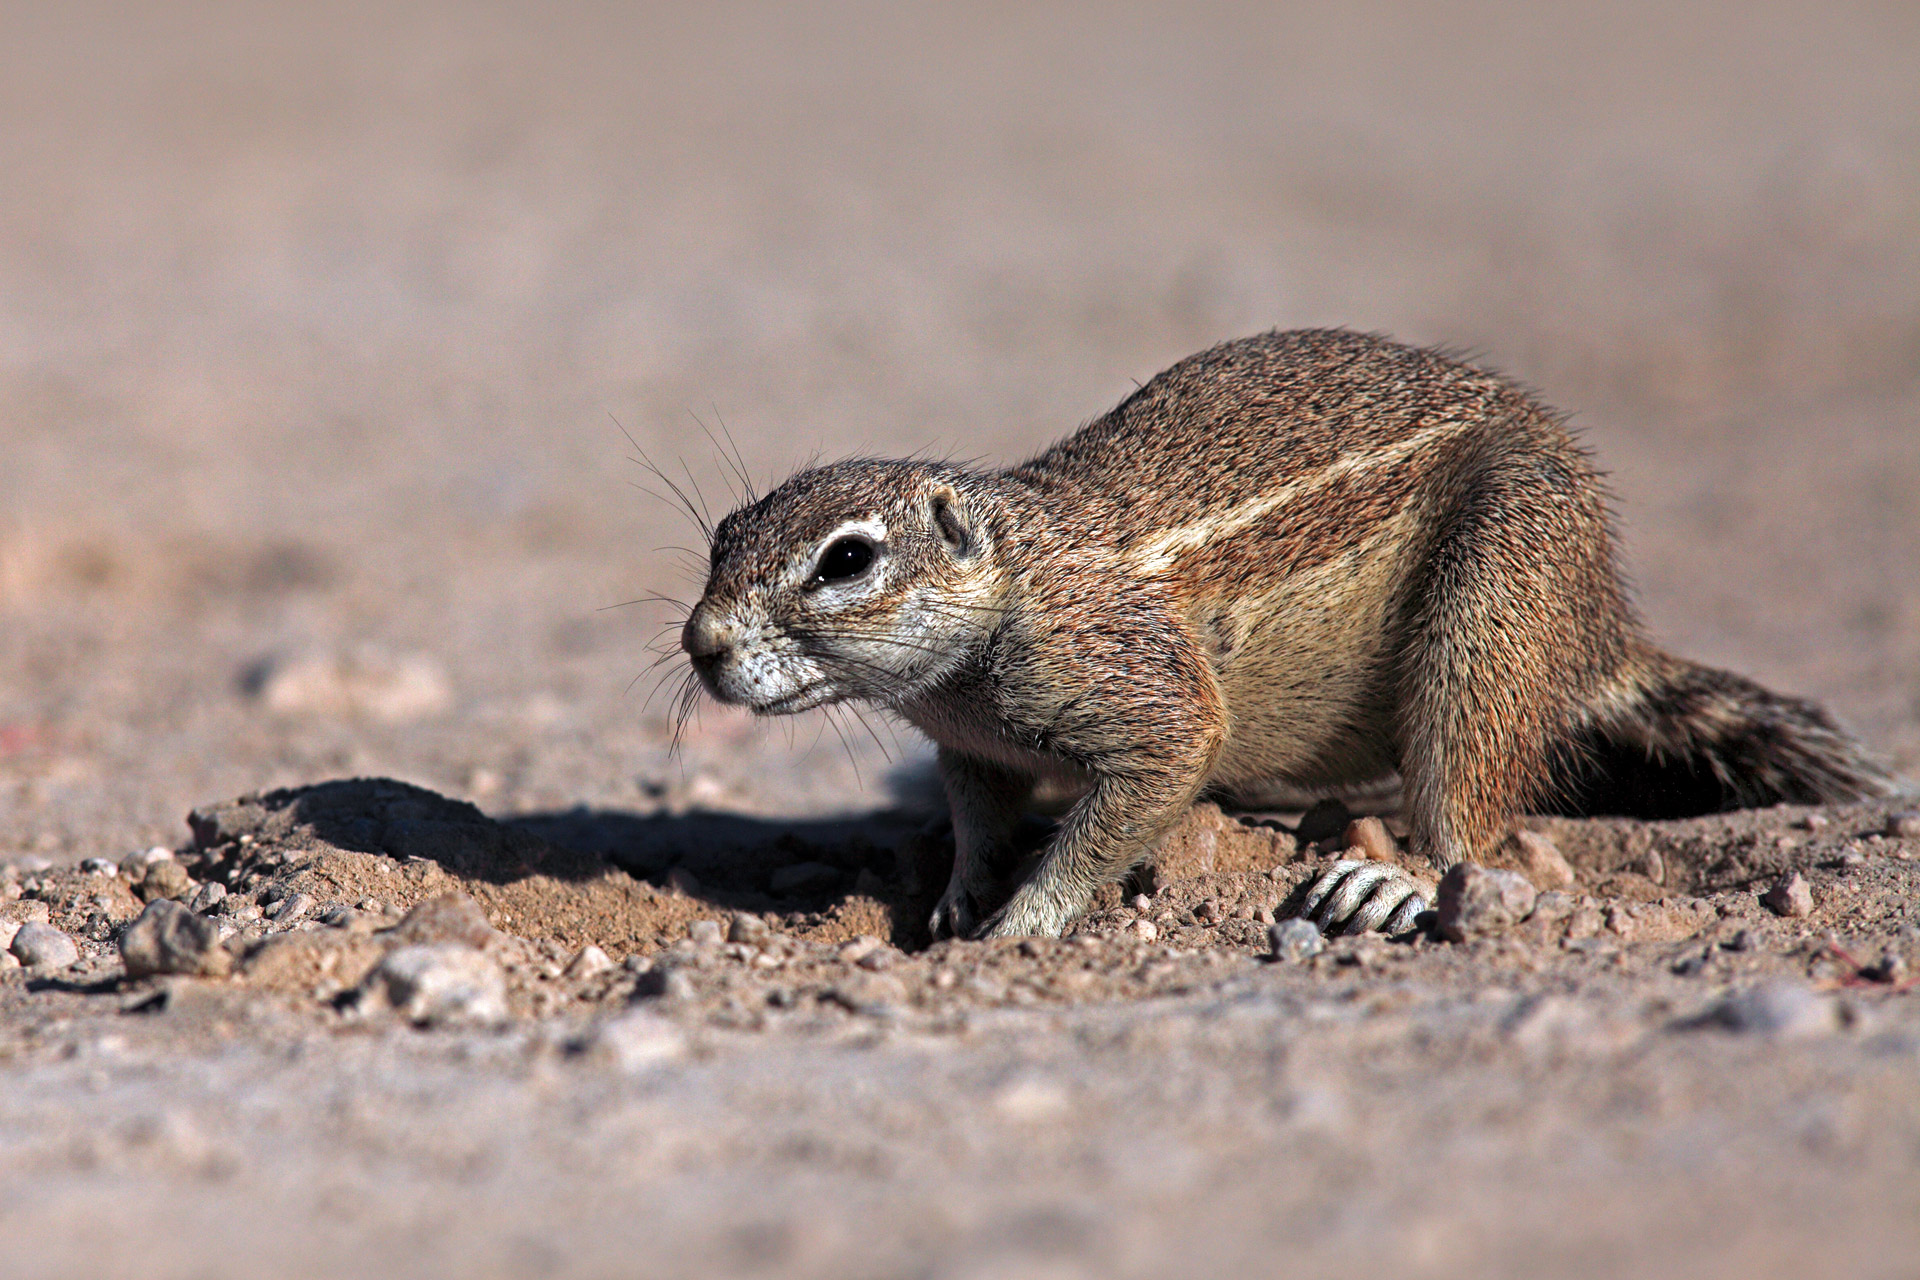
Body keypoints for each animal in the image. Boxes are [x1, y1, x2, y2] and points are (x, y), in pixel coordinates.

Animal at [678, 329, 1893, 939]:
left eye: (846, 560)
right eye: (722, 536)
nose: (701, 644)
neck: (1012, 585)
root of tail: (1601, 625)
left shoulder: (1145, 699)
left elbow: (1118, 813)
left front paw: (1023, 926)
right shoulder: (972, 749)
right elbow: (979, 816)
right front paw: (959, 896)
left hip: (1494, 606)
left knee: (1473, 810)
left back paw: (1397, 881)